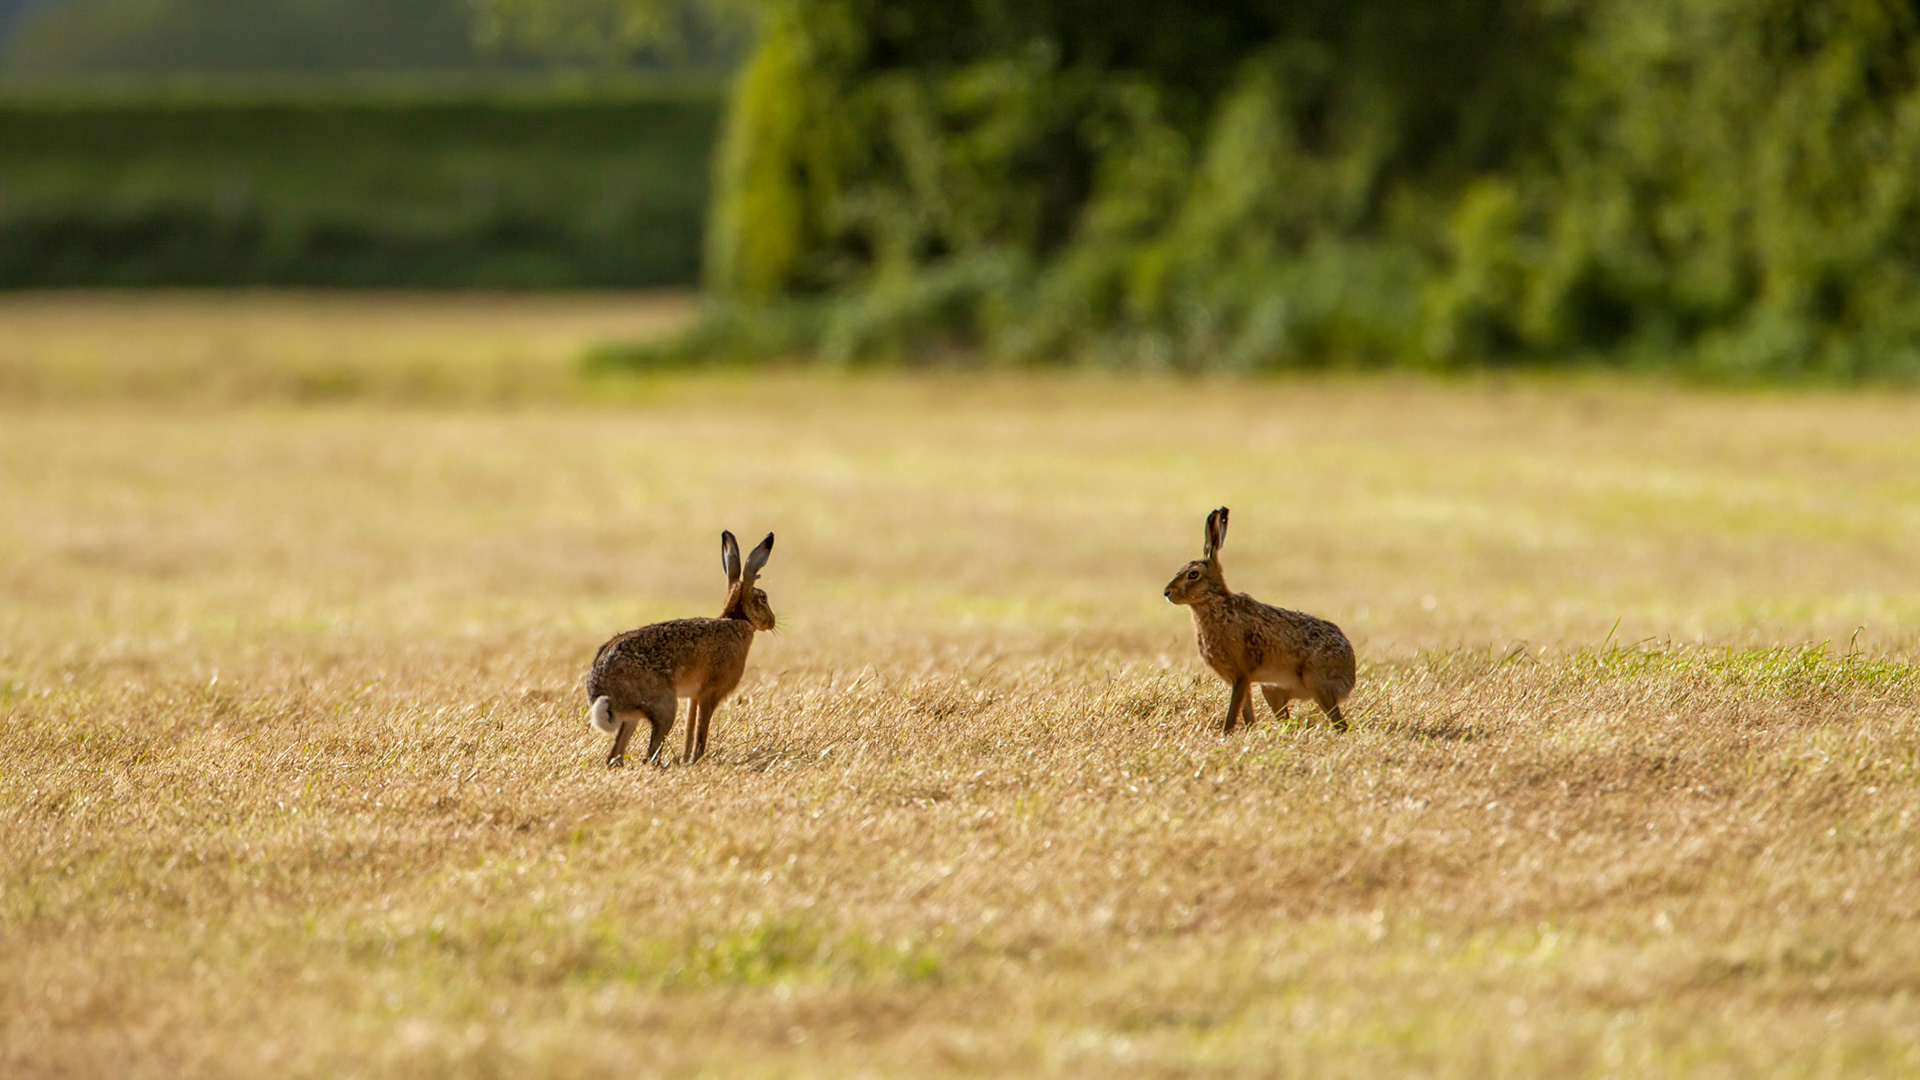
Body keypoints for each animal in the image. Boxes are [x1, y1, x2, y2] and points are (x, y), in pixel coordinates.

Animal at [585, 530, 775, 767]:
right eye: (763, 598)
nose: (772, 621)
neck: (738, 619)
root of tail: (599, 689)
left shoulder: (694, 695)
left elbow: (690, 726)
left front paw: (686, 759)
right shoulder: (710, 691)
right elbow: (702, 727)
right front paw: (696, 759)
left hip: (633, 717)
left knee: (615, 755)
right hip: (665, 706)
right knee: (649, 754)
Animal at [1164, 507, 1356, 733]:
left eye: (1193, 574)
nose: (1167, 593)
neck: (1214, 603)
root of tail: (1351, 672)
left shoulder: (1241, 673)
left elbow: (1233, 711)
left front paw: (1225, 734)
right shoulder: (1240, 679)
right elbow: (1247, 713)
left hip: (1317, 683)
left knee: (1340, 723)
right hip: (1271, 689)